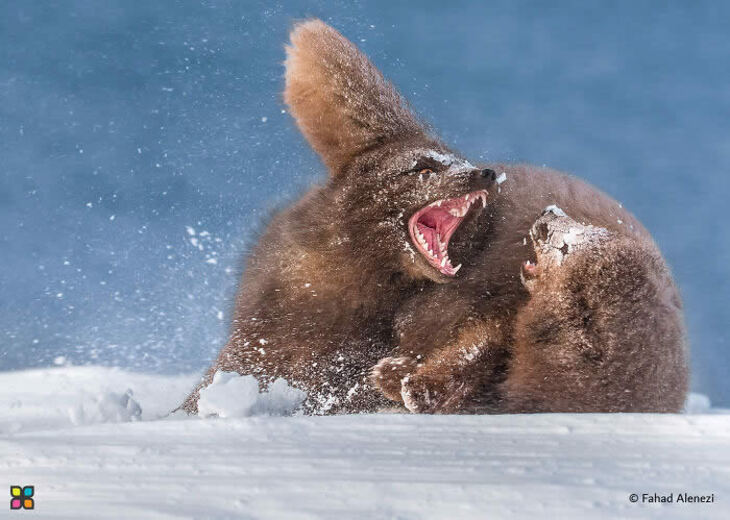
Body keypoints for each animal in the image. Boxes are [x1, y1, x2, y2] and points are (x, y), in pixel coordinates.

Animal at [179, 20, 684, 416]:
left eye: (567, 245)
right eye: (423, 170)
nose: (484, 172)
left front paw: (402, 383)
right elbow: (471, 349)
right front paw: (406, 380)